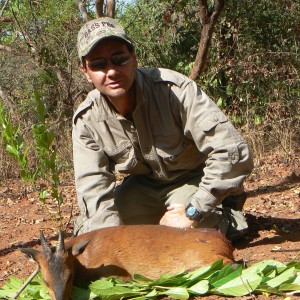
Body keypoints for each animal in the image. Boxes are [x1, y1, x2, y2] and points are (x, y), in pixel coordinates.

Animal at [19, 225, 234, 300]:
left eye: (70, 276)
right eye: (45, 280)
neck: (84, 260)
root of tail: (226, 242)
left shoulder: (120, 273)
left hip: (206, 260)